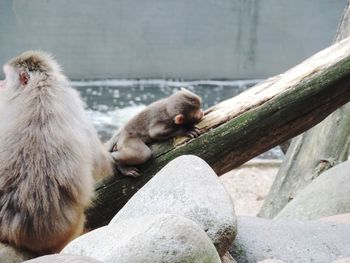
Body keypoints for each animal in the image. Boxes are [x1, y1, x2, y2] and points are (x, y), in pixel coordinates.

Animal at [0, 51, 113, 256]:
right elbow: (99, 162)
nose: (0, 84)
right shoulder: (71, 99)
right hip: (67, 230)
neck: (39, 86)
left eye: (5, 77)